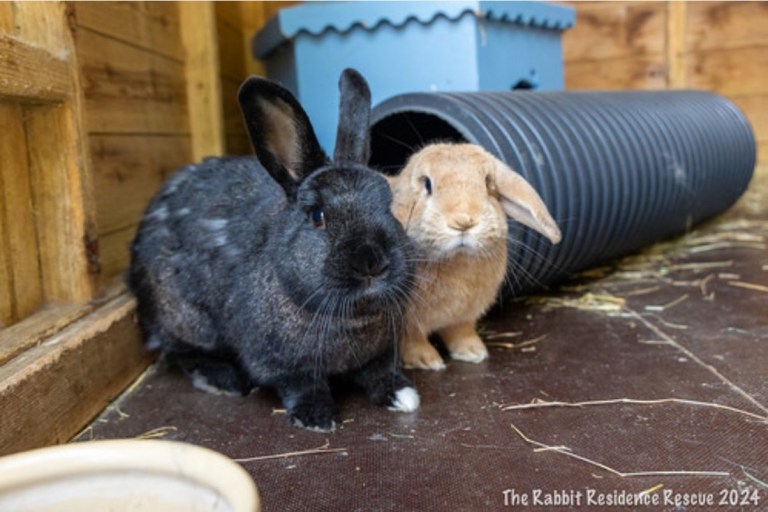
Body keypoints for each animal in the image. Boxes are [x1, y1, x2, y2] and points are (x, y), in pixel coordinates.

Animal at [129, 69, 419, 432]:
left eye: (389, 206)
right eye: (317, 216)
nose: (372, 263)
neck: (349, 318)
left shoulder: (379, 354)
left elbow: (379, 372)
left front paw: (403, 396)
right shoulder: (279, 364)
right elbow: (302, 384)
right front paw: (317, 417)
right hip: (186, 321)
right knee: (181, 351)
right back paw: (223, 380)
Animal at [386, 143, 562, 370]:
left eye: (487, 184)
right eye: (427, 184)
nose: (463, 221)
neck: (458, 260)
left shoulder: (463, 317)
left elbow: (460, 333)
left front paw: (475, 353)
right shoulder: (407, 322)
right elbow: (412, 340)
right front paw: (428, 361)